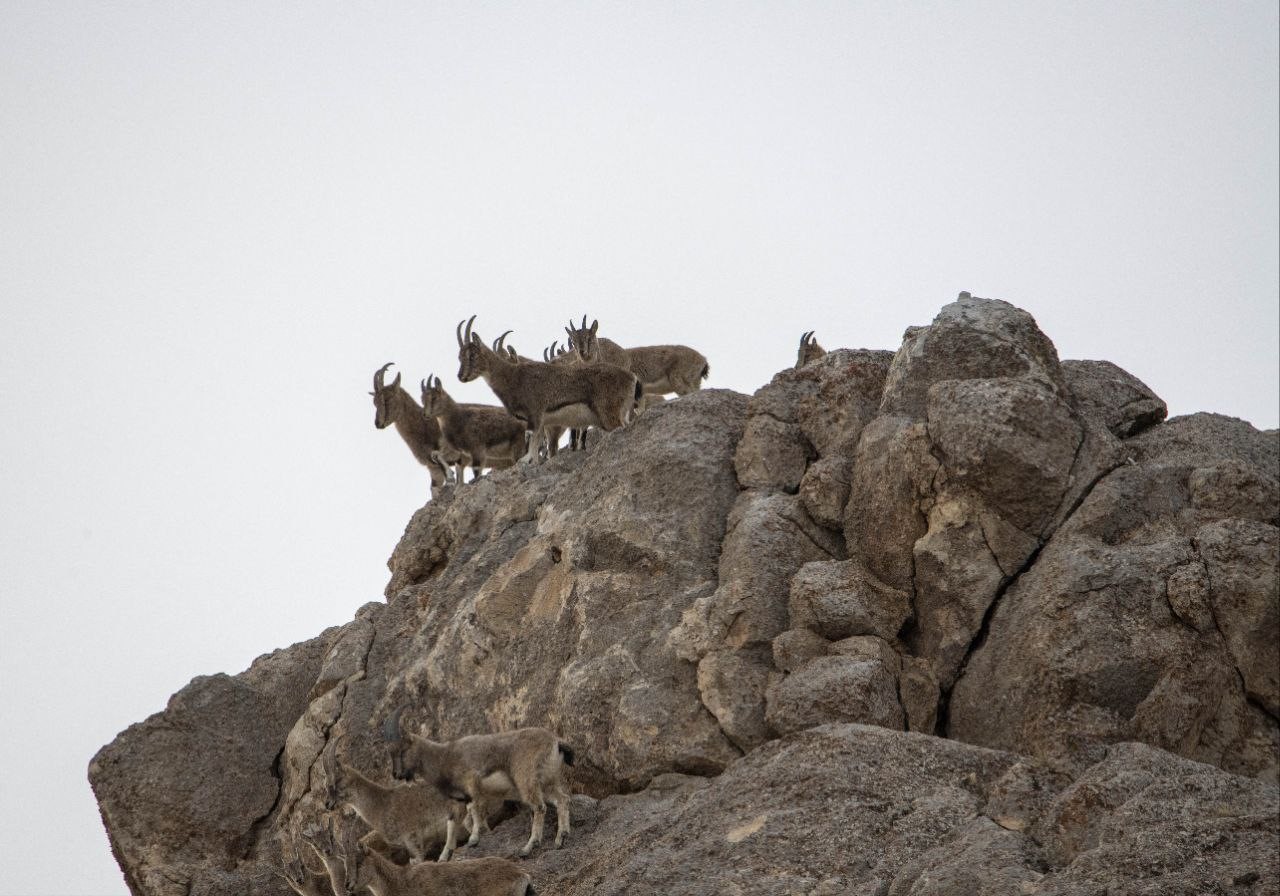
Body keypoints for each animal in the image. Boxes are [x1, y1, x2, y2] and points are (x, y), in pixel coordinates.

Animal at [458, 314, 645, 465]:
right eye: (459, 356)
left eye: (472, 355)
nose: (461, 377)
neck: (514, 375)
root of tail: (631, 377)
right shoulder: (541, 424)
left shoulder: (536, 415)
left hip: (610, 416)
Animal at [568, 316, 711, 396]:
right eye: (573, 342)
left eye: (590, 338)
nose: (582, 353)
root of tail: (703, 360)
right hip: (695, 382)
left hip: (679, 380)